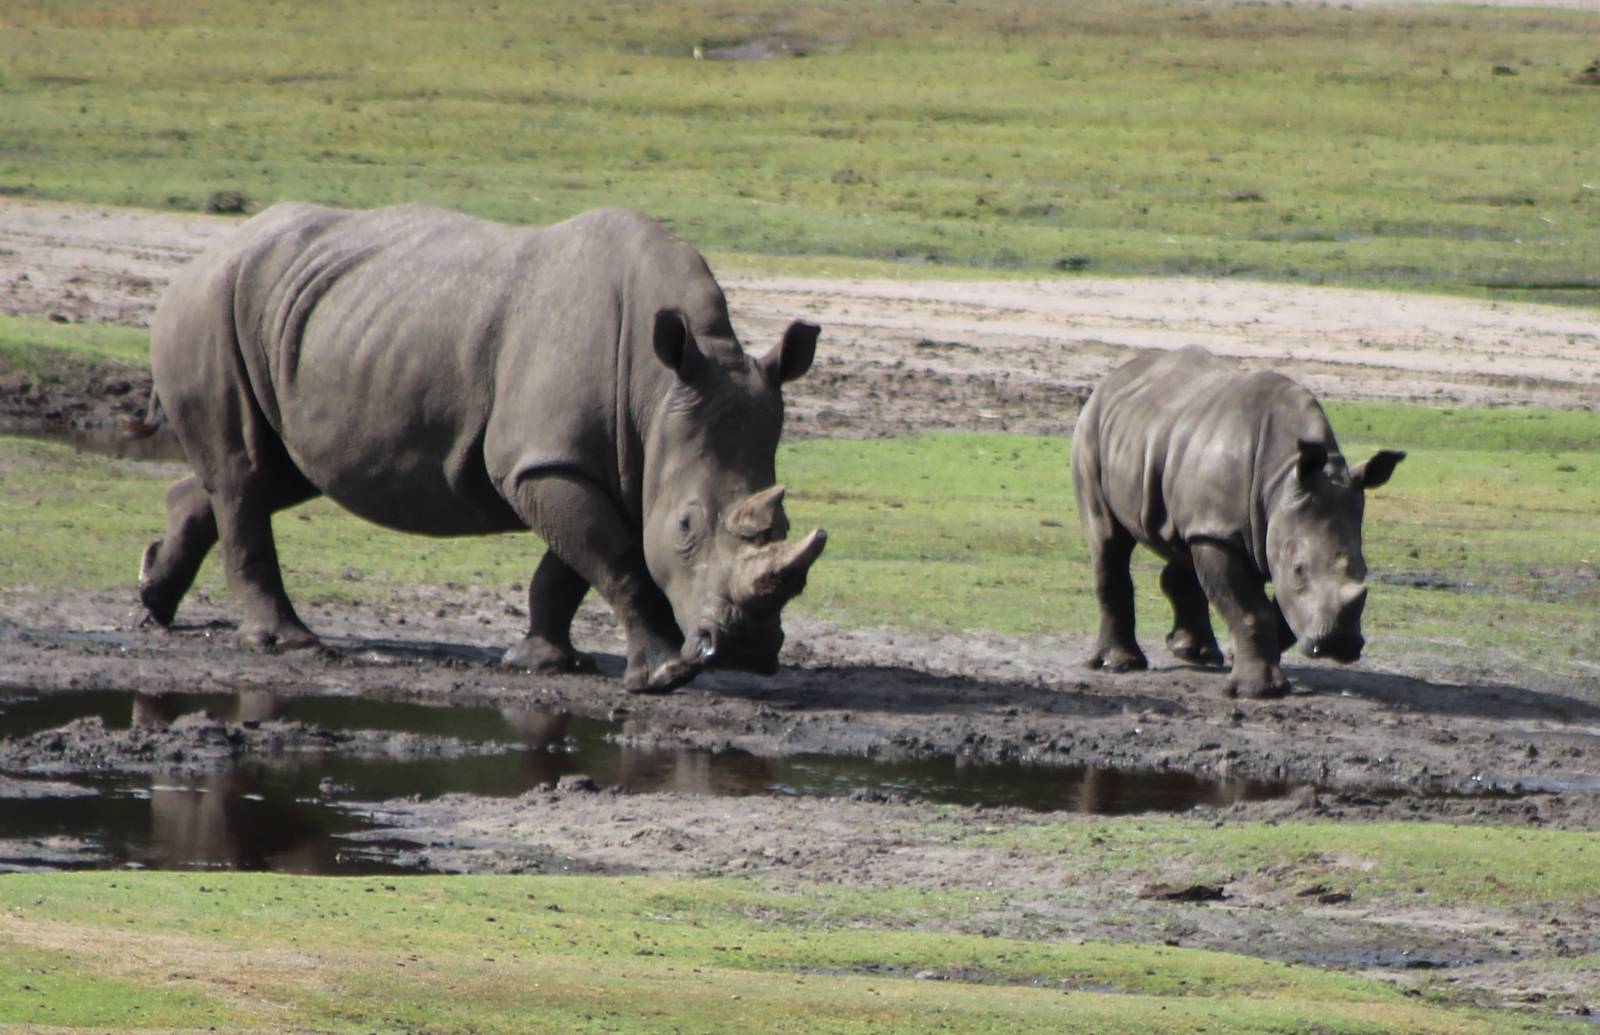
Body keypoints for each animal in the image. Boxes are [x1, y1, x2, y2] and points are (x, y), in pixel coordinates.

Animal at [133, 202, 826, 694]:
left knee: (276, 471)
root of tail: (200, 257)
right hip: (209, 306)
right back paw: (287, 644)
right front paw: (661, 675)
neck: (658, 393)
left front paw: (541, 662)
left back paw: (154, 599)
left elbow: (570, 567)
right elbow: (616, 559)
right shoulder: (545, 461)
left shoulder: (599, 462)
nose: (745, 650)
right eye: (685, 526)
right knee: (246, 475)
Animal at [1070, 346, 1404, 698]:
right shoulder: (1223, 534)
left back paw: (1195, 654)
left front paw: (1239, 658)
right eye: (1299, 570)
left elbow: (1277, 611)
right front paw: (1256, 691)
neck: (1282, 480)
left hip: (1172, 447)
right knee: (1108, 540)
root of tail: (1111, 379)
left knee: (1184, 542)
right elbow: (1250, 611)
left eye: (1363, 569)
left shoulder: (1260, 524)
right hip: (1091, 430)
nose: (1338, 645)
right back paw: (1119, 665)